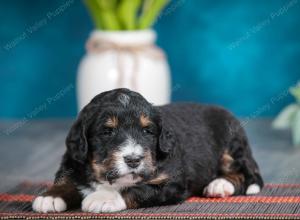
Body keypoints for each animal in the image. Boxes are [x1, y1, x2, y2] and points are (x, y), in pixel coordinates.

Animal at [32, 87, 262, 213]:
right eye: (107, 131)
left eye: (147, 131)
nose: (133, 160)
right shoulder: (73, 159)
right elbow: (66, 178)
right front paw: (51, 196)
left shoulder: (172, 182)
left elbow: (135, 188)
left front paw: (103, 198)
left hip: (232, 147)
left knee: (246, 175)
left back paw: (219, 185)